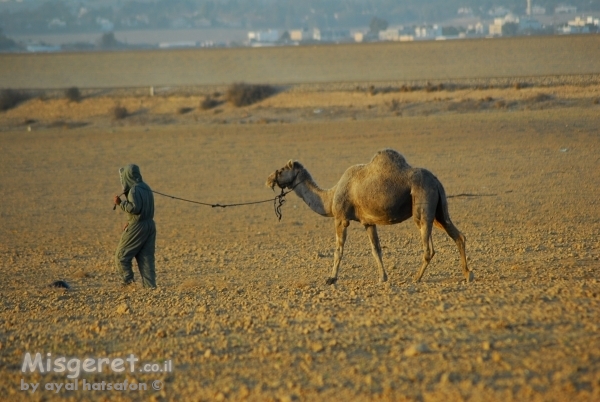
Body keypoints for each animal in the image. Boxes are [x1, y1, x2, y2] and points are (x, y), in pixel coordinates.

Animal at [268, 148, 474, 286]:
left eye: (281, 170)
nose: (269, 179)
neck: (331, 196)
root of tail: (436, 181)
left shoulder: (341, 218)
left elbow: (338, 250)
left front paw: (331, 278)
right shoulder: (368, 222)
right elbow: (376, 249)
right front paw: (383, 277)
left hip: (422, 202)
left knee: (428, 246)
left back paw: (416, 278)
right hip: (440, 208)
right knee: (458, 235)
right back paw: (468, 274)